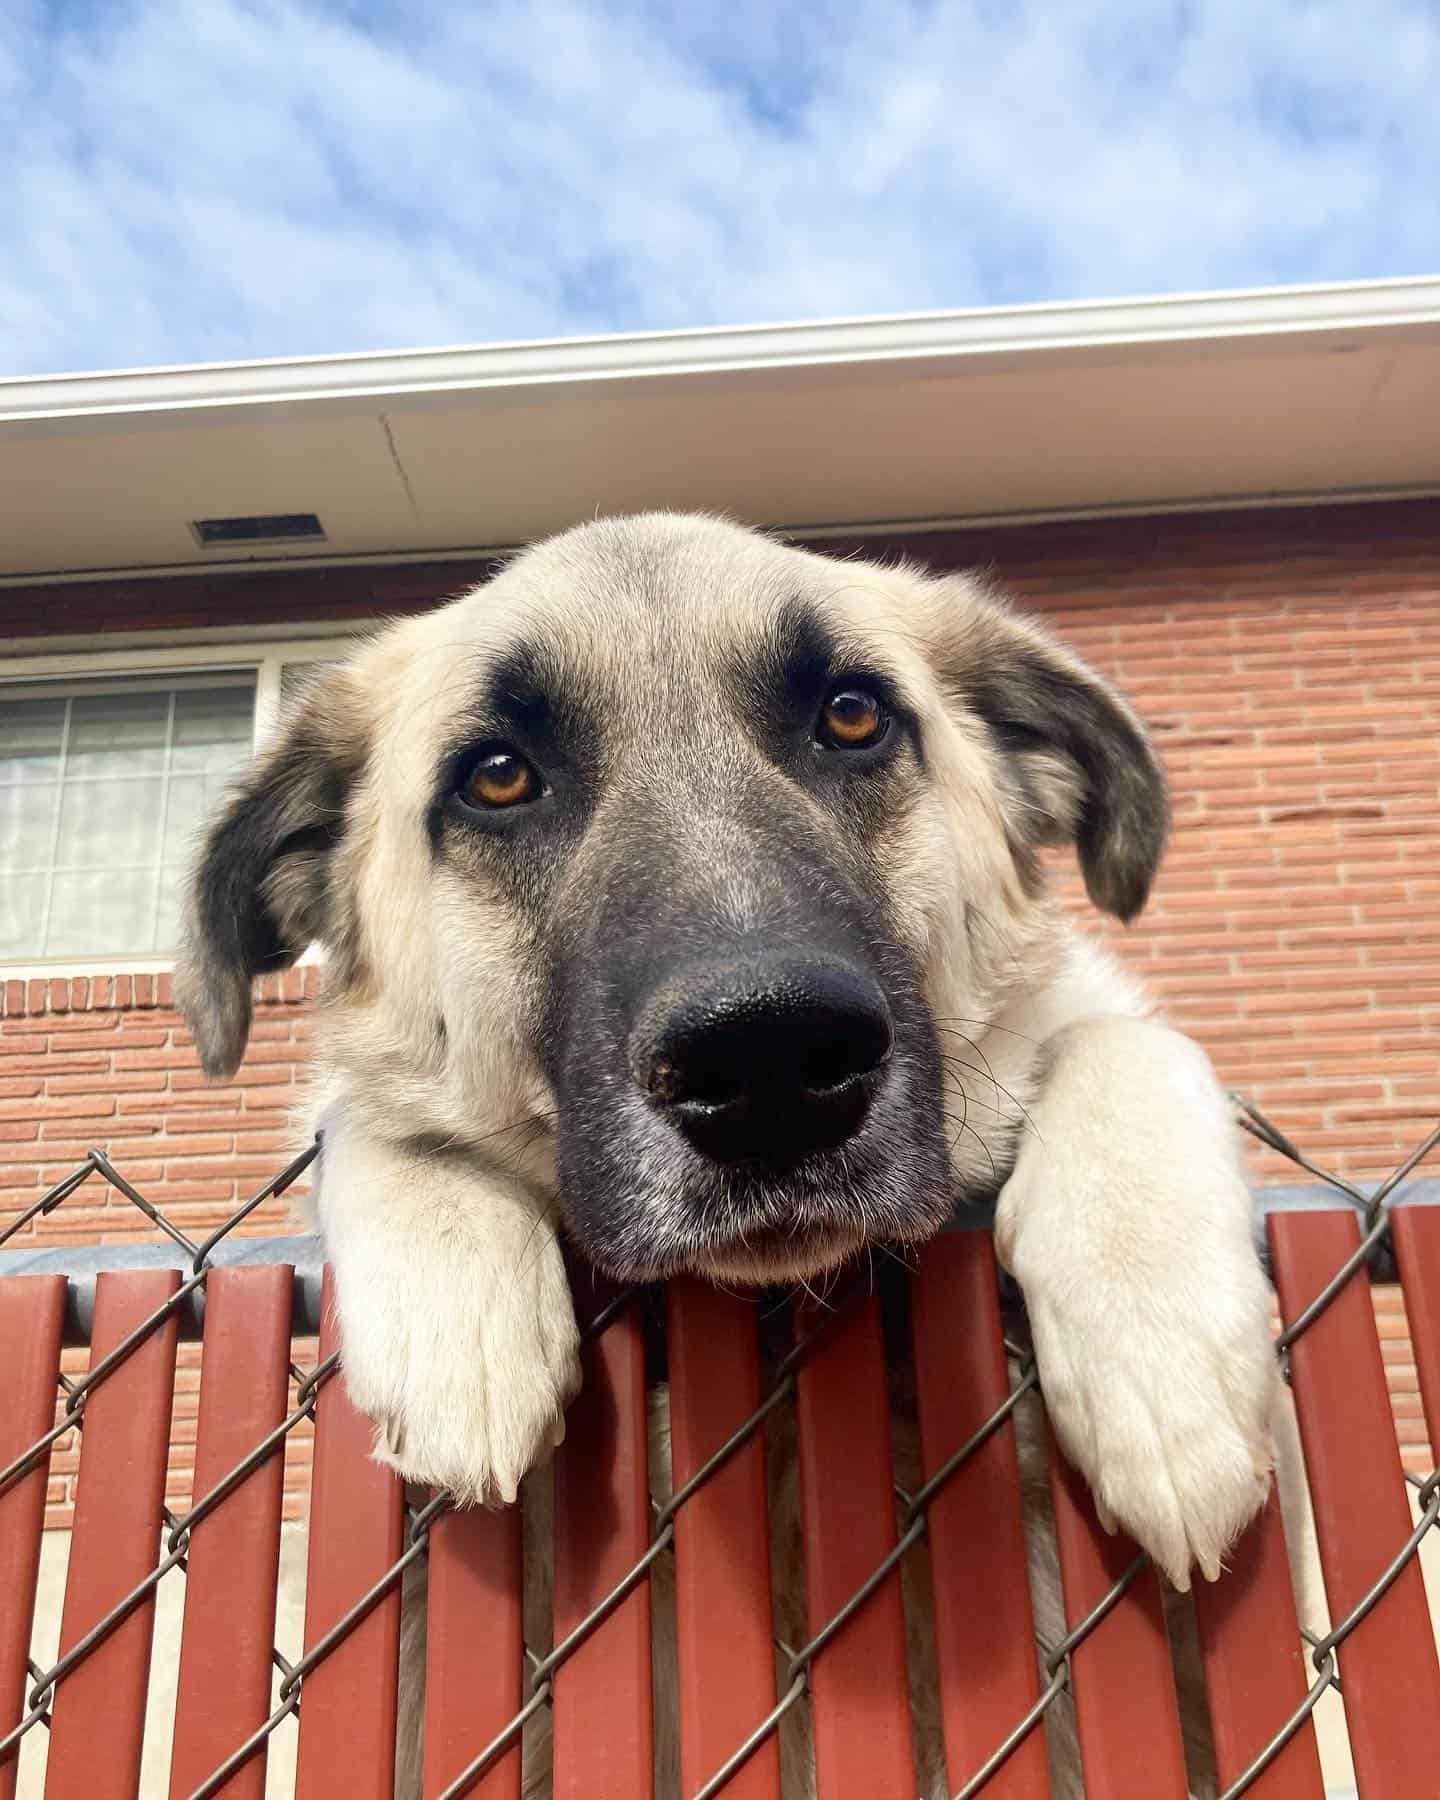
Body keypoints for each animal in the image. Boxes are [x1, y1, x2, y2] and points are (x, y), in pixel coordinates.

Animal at [177, 514, 1281, 1792]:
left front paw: (1166, 1371)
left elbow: (1125, 1040)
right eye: (497, 776)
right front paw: (462, 1325)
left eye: (851, 716)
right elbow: (370, 1116)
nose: (769, 1061)